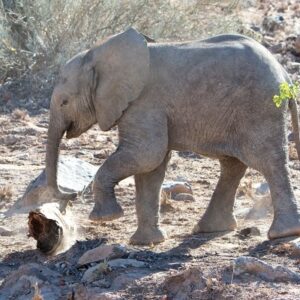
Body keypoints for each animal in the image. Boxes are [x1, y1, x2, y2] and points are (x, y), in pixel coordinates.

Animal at [44, 27, 300, 244]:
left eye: (64, 102)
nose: (70, 196)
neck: (98, 53)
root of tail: (285, 75)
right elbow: (150, 169)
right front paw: (146, 242)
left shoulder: (144, 103)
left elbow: (146, 155)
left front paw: (106, 218)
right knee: (233, 164)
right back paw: (210, 229)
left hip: (260, 107)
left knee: (268, 161)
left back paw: (283, 233)